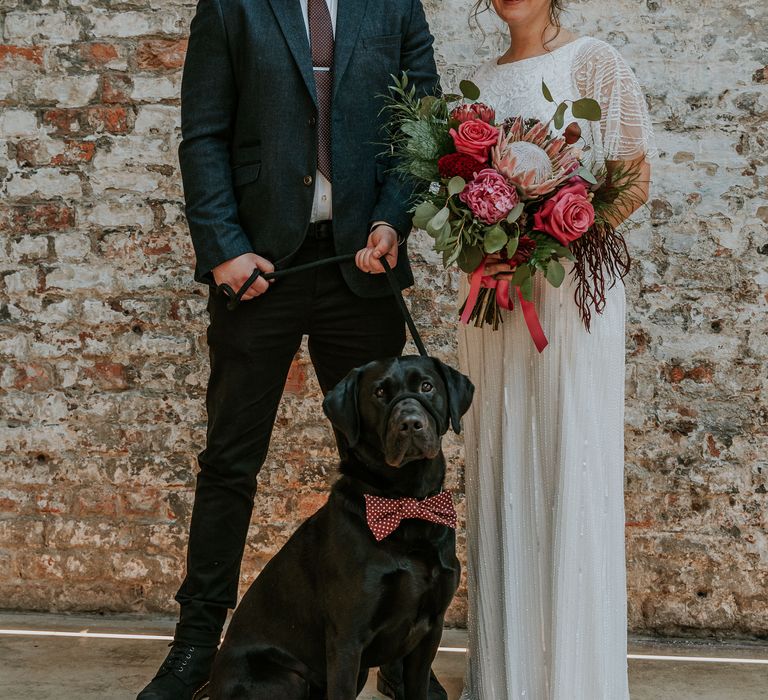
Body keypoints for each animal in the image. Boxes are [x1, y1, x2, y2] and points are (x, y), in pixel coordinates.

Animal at [204, 358, 472, 696]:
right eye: (379, 393)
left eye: (427, 386)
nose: (410, 423)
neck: (406, 503)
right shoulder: (346, 639)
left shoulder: (429, 632)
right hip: (287, 676)